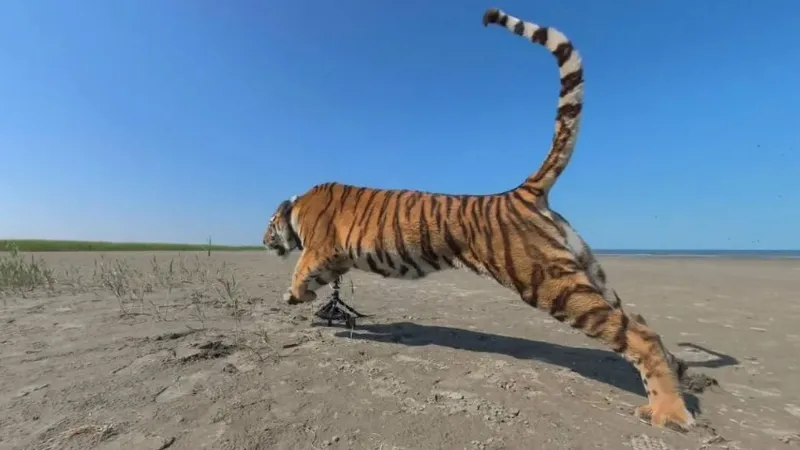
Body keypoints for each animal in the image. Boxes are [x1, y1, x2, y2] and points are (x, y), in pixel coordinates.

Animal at [262, 7, 694, 430]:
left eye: (268, 224)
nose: (264, 241)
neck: (297, 208)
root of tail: (523, 191)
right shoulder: (336, 258)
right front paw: (311, 300)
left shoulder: (320, 247)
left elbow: (301, 269)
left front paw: (295, 294)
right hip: (587, 272)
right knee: (640, 322)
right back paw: (679, 374)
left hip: (550, 283)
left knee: (636, 336)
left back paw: (669, 414)